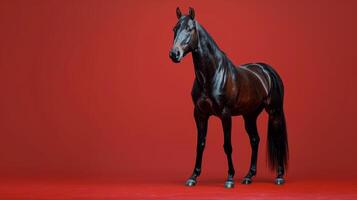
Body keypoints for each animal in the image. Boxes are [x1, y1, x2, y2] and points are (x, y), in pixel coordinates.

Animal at [168, 7, 288, 188]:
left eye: (190, 29)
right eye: (175, 29)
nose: (174, 54)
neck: (211, 75)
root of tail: (267, 70)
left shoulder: (225, 115)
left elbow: (227, 145)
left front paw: (230, 178)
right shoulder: (200, 114)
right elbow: (200, 144)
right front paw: (193, 177)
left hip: (275, 112)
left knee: (278, 139)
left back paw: (279, 176)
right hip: (249, 115)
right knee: (255, 140)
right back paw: (248, 176)